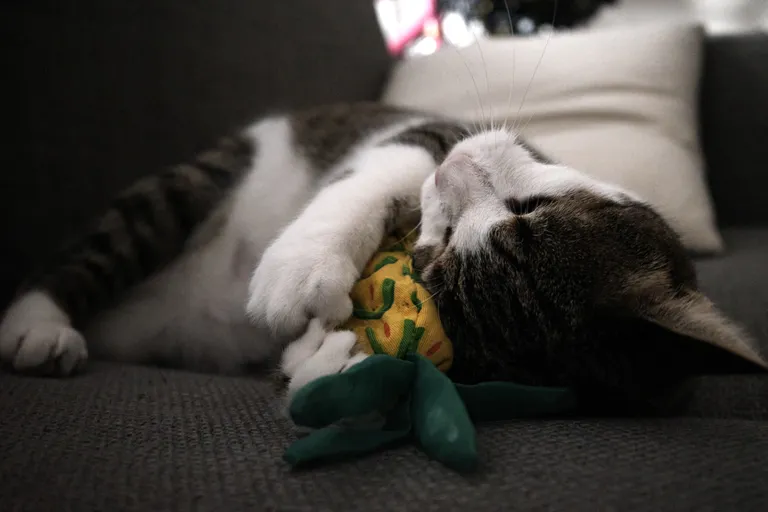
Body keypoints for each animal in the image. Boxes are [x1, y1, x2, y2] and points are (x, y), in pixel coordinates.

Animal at [0, 102, 760, 414]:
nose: (455, 176)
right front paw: (301, 264)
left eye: (438, 261)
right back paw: (39, 326)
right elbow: (401, 154)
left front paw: (326, 362)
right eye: (528, 211)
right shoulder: (426, 128)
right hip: (189, 188)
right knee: (96, 249)